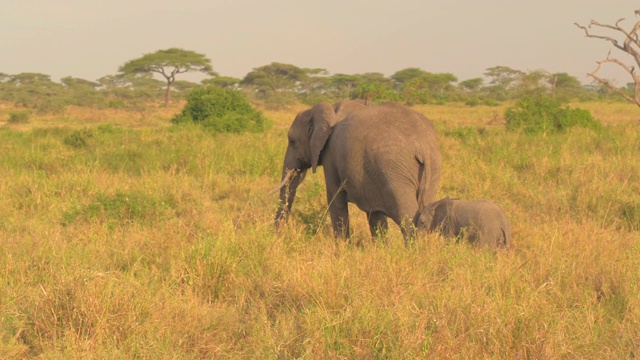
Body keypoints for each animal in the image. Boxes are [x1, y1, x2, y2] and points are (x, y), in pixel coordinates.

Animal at [272, 100, 442, 243]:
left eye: (292, 141)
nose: (278, 237)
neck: (330, 109)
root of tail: (423, 147)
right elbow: (375, 214)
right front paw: (381, 249)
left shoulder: (331, 155)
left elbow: (335, 199)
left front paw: (342, 248)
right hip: (430, 168)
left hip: (395, 173)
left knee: (407, 217)